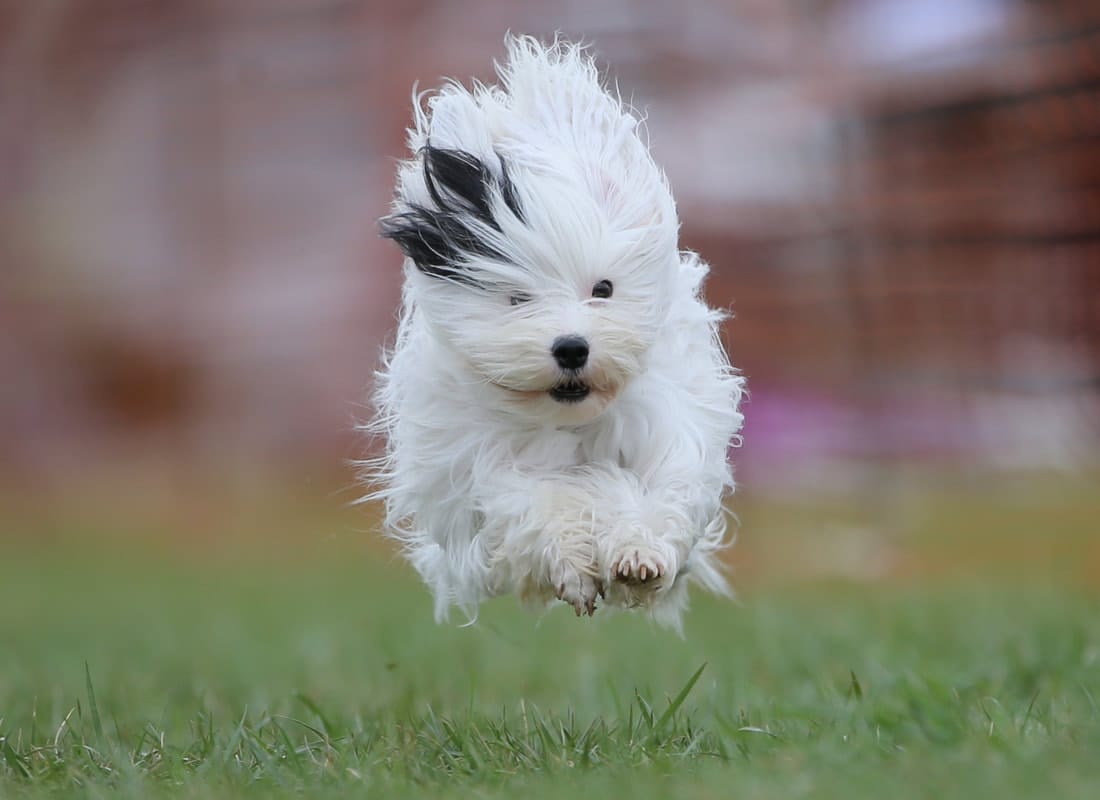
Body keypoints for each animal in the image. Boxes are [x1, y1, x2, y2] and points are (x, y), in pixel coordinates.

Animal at [369, 36, 748, 633]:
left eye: (604, 288)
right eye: (517, 300)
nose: (571, 347)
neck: (569, 418)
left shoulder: (665, 425)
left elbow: (657, 487)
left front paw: (638, 554)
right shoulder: (482, 469)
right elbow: (536, 504)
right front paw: (574, 562)